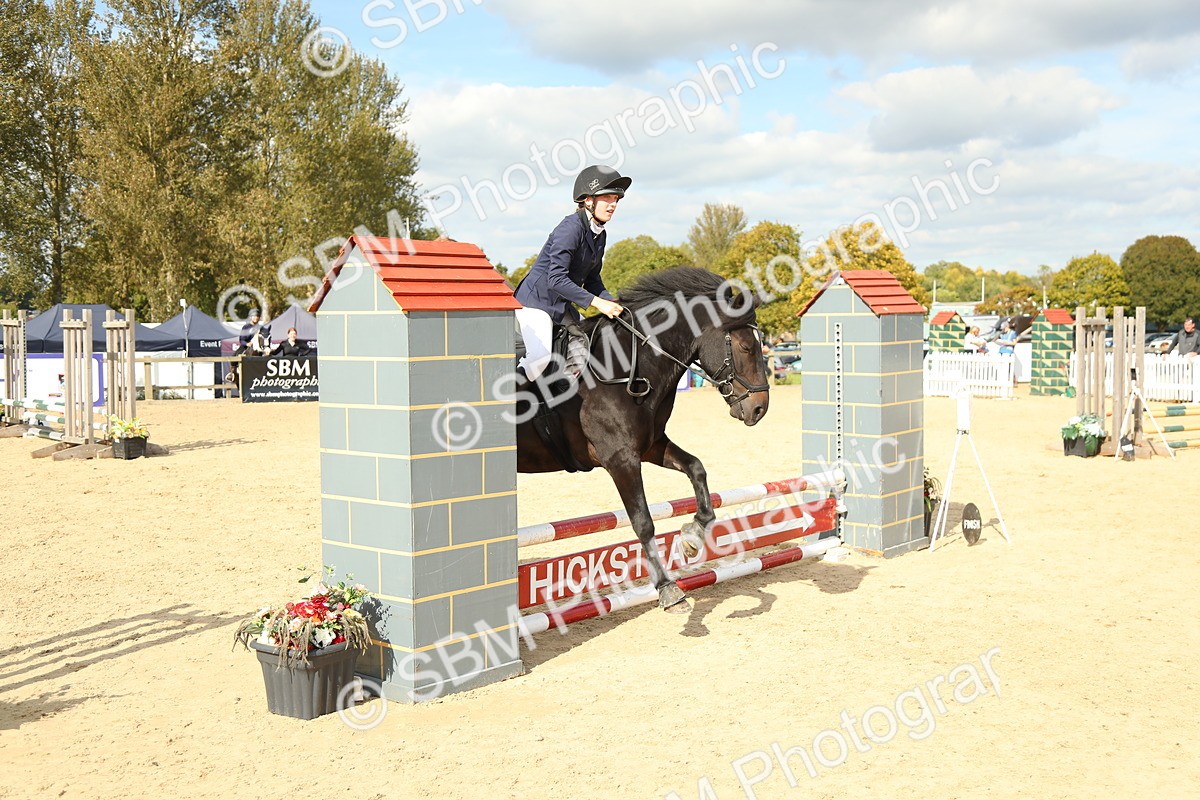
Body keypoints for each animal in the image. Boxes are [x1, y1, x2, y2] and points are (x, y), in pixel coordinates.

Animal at [516, 267, 771, 612]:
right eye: (745, 347)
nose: (760, 408)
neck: (626, 365)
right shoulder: (620, 459)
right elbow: (643, 521)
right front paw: (667, 588)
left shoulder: (651, 446)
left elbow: (696, 469)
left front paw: (691, 537)